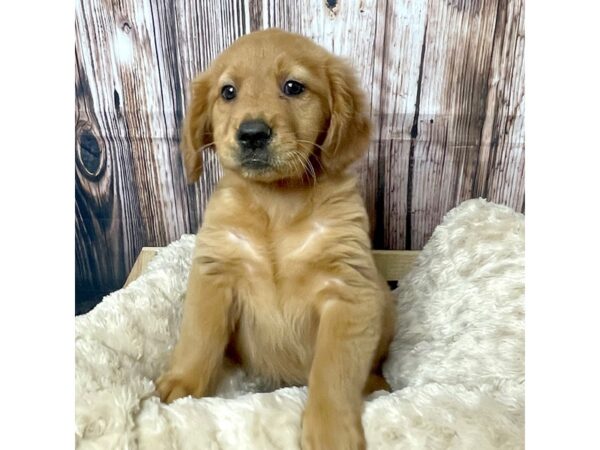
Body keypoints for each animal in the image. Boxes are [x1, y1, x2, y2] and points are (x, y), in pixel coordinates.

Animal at [157, 29, 396, 450]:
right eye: (228, 92)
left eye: (293, 87)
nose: (252, 133)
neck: (277, 204)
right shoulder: (215, 276)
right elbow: (197, 338)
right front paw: (182, 383)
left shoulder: (348, 293)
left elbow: (333, 372)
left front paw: (330, 431)